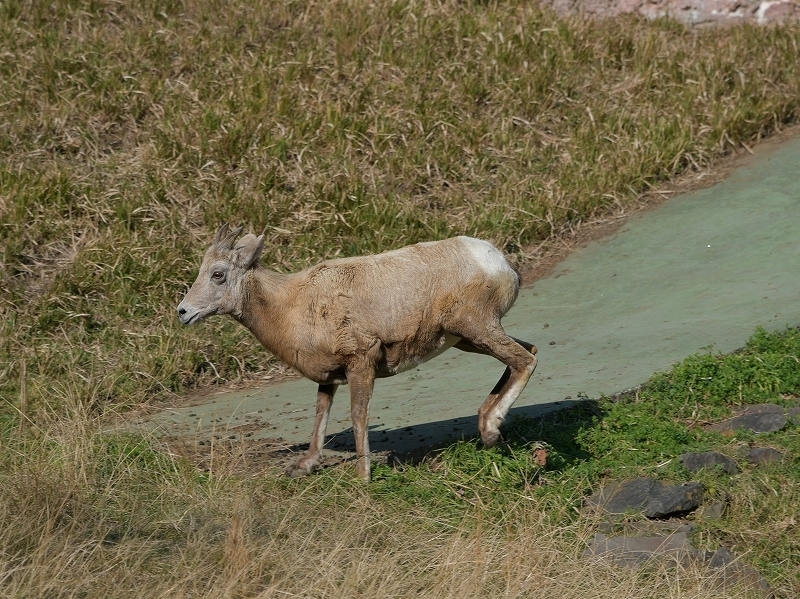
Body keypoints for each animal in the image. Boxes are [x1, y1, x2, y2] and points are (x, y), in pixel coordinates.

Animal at [177, 225, 536, 482]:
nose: (183, 312)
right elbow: (320, 413)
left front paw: (362, 476)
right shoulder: (330, 377)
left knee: (525, 360)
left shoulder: (360, 364)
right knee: (527, 351)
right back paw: (486, 421)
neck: (292, 305)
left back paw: (490, 430)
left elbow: (357, 416)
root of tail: (499, 262)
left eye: (218, 274)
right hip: (468, 339)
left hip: (475, 328)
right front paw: (304, 466)